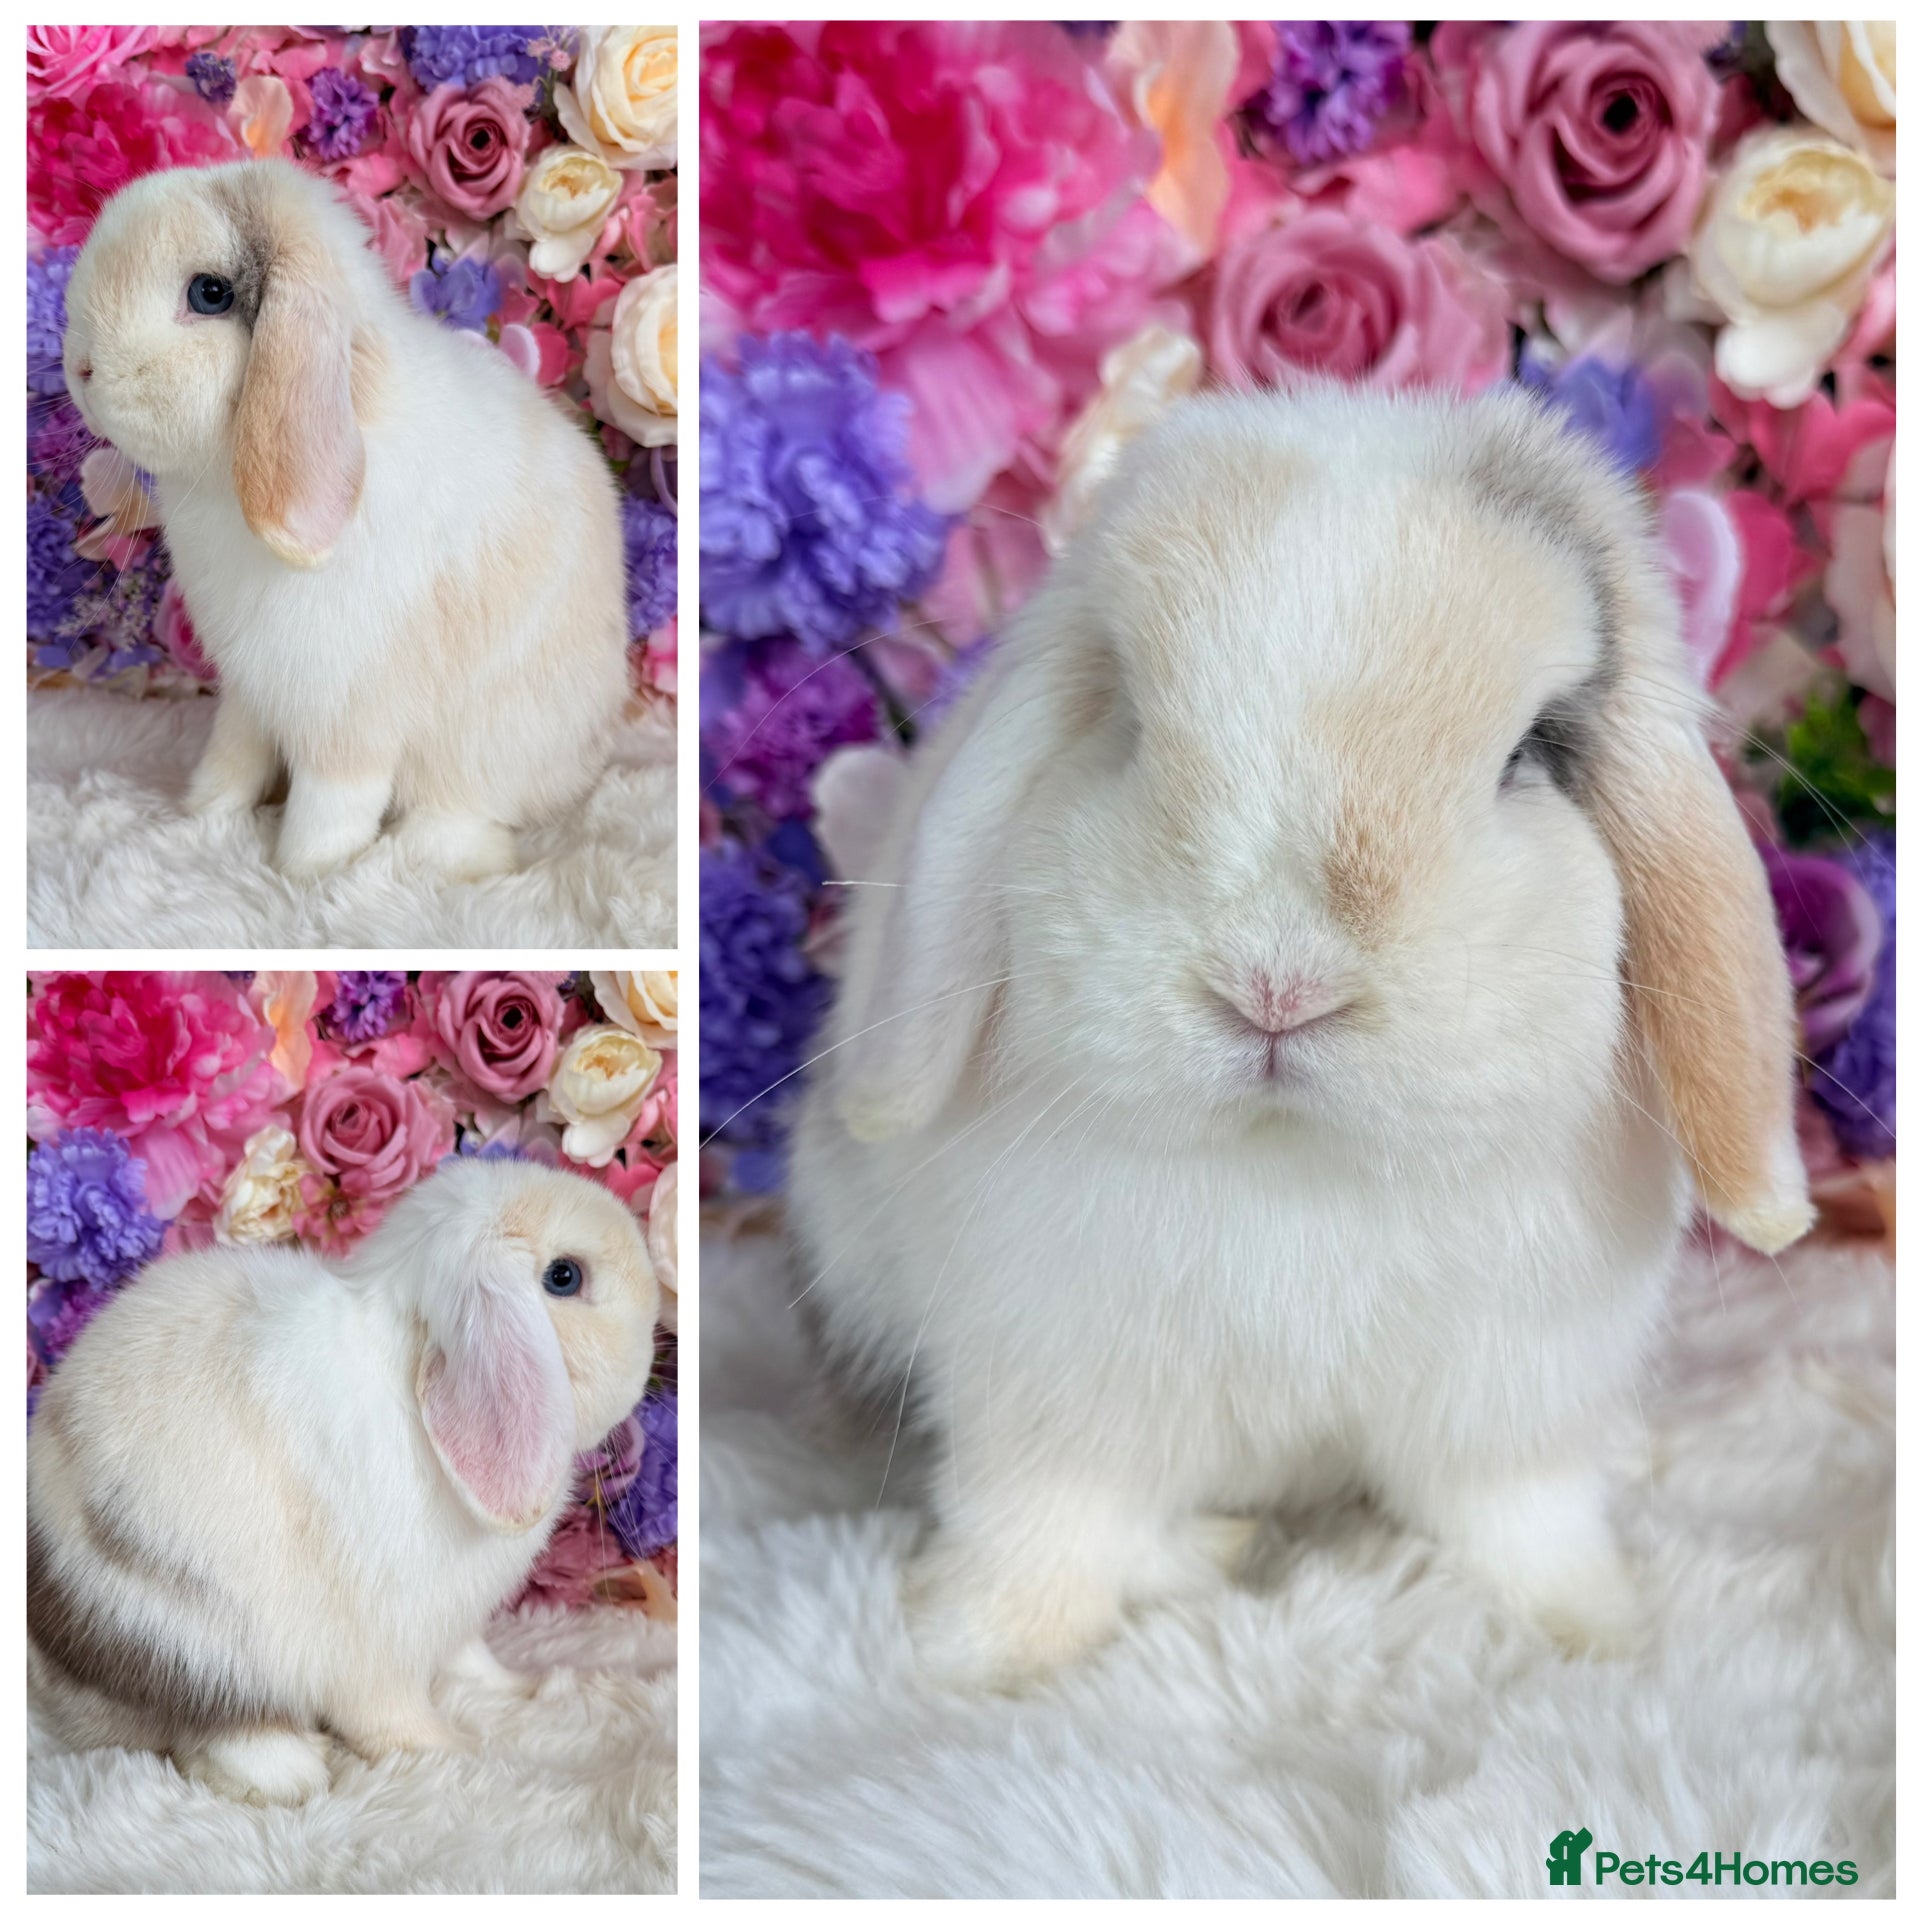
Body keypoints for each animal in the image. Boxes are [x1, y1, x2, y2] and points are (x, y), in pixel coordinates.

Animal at [27, 1157, 659, 1805]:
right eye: (564, 1276)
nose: (656, 1289)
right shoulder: (383, 1651)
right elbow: (394, 1721)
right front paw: (461, 1753)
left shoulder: (455, 1621)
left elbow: (472, 1660)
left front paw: (522, 1688)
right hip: (201, 1640)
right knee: (221, 1729)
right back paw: (296, 1773)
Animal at [59, 157, 630, 884]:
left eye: (210, 293)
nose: (81, 369)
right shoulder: (251, 690)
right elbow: (233, 756)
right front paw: (201, 817)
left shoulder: (347, 716)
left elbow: (332, 803)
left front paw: (304, 874)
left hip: (488, 753)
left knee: (473, 821)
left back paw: (415, 853)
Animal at [787, 383, 1813, 1688]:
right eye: (1127, 723)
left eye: (1529, 756)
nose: (1276, 986)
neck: (1299, 1173)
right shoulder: (1055, 1384)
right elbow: (1048, 1524)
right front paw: (980, 1653)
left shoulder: (1511, 1397)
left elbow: (1521, 1520)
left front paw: (1591, 1631)